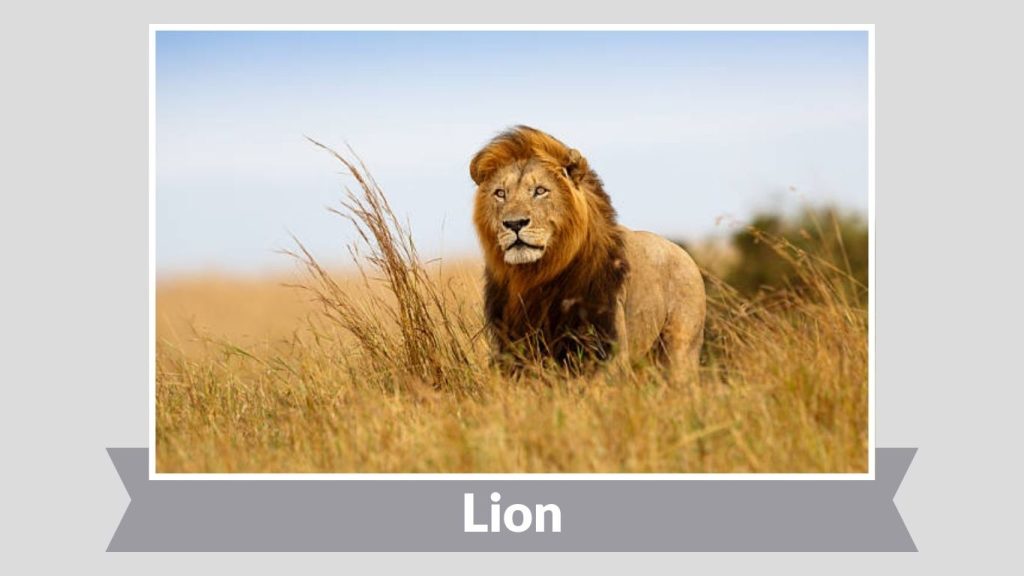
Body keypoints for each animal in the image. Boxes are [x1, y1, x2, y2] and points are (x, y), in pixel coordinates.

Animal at [470, 125, 706, 380]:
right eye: (500, 193)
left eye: (540, 191)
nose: (514, 224)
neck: (535, 276)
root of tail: (685, 255)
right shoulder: (511, 347)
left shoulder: (606, 346)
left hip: (679, 351)